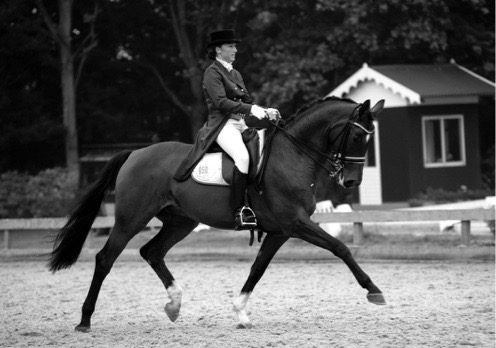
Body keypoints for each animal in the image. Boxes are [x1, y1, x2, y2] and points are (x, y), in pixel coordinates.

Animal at [47, 96, 388, 332]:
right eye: (357, 137)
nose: (351, 182)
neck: (292, 155)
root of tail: (135, 153)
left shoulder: (281, 231)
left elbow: (257, 268)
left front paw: (240, 312)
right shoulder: (295, 223)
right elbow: (340, 247)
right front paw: (374, 291)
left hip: (181, 221)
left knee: (151, 251)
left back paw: (174, 305)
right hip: (131, 219)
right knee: (105, 259)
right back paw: (85, 321)